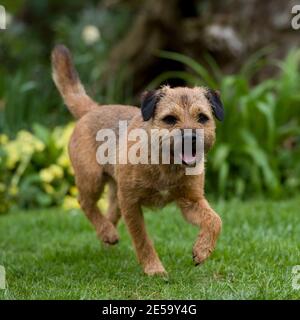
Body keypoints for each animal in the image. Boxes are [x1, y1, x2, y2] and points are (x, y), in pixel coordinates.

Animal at [51, 44, 224, 276]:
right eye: (170, 119)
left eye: (203, 118)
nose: (191, 137)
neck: (165, 165)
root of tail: (93, 109)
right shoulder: (131, 203)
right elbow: (142, 238)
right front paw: (154, 269)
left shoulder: (190, 201)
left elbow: (215, 220)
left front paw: (202, 250)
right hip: (92, 179)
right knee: (85, 202)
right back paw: (107, 232)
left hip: (115, 192)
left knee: (108, 213)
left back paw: (106, 235)